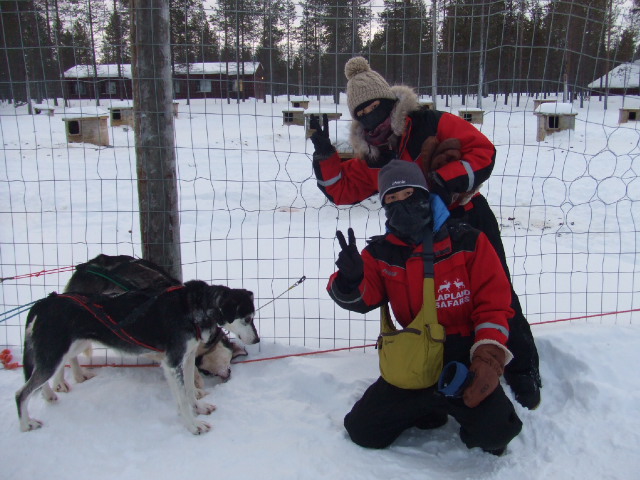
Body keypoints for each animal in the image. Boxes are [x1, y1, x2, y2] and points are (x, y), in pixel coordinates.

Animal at [15, 278, 255, 436]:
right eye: (247, 318)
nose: (256, 340)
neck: (192, 308)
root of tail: (46, 301)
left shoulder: (187, 359)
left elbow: (189, 391)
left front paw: (199, 409)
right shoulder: (173, 363)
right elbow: (182, 399)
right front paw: (193, 425)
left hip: (68, 348)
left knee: (44, 375)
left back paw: (49, 393)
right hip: (55, 353)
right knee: (21, 392)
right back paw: (27, 424)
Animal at [52, 253, 249, 396]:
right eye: (209, 373)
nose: (228, 374)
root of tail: (86, 265)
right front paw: (197, 389)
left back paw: (78, 375)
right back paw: (60, 382)